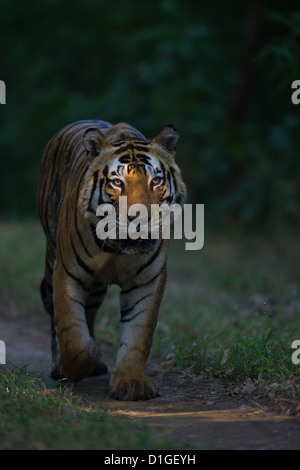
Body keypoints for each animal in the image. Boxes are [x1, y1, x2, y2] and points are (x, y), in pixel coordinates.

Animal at [37, 118, 186, 400]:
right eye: (117, 183)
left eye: (155, 181)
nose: (141, 218)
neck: (118, 247)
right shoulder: (67, 273)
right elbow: (72, 333)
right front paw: (76, 366)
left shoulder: (146, 281)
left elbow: (139, 333)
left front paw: (132, 382)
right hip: (53, 258)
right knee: (55, 320)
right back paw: (59, 366)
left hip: (95, 288)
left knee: (89, 314)